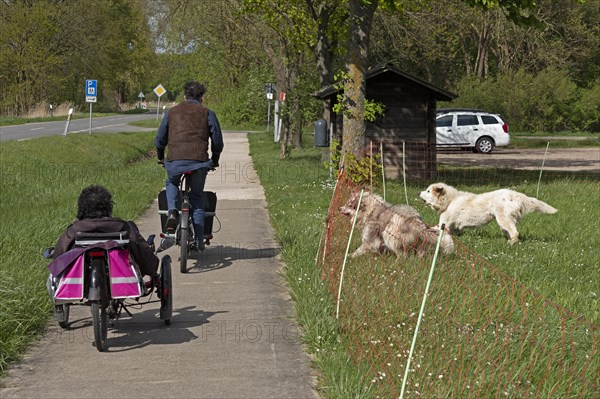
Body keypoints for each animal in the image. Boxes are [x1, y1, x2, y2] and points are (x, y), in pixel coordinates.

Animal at [420, 184, 556, 245]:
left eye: (428, 191)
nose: (418, 193)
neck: (450, 200)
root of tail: (517, 194)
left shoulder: (443, 225)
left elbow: (429, 228)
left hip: (503, 219)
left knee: (515, 233)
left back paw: (511, 243)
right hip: (504, 222)